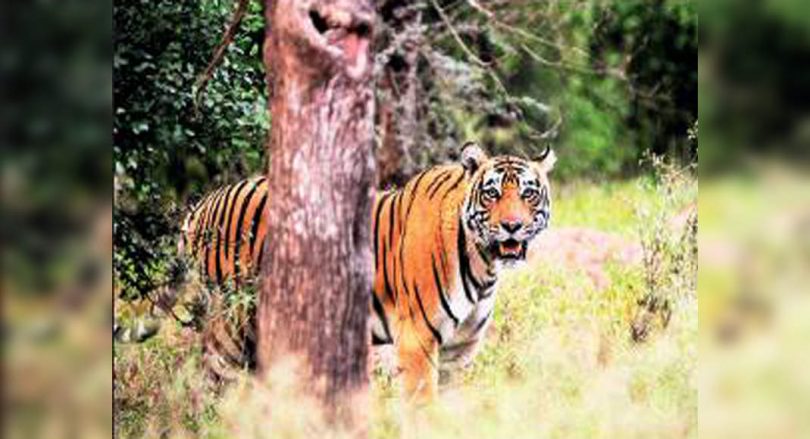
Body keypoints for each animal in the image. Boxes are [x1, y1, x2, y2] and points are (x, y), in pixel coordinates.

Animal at [128, 142, 556, 400]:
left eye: (528, 193)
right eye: (492, 194)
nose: (513, 226)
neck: (483, 267)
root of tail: (201, 205)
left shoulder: (460, 351)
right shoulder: (418, 339)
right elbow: (423, 403)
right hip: (230, 327)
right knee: (209, 384)